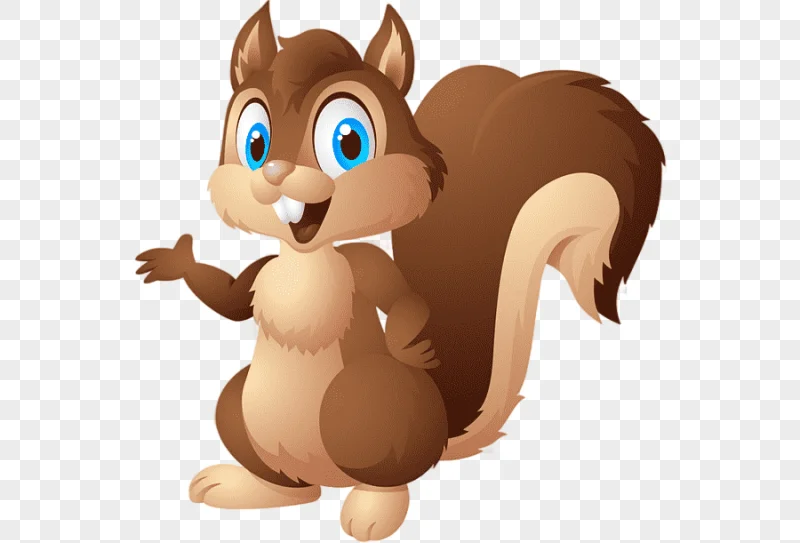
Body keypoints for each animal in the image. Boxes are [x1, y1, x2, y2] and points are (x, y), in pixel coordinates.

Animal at [136, 3, 664, 541]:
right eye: (254, 142)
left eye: (348, 141)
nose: (274, 173)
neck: (306, 258)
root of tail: (439, 433)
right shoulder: (262, 271)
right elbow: (231, 300)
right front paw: (177, 260)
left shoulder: (367, 268)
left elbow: (404, 300)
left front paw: (405, 346)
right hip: (240, 408)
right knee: (296, 485)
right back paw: (247, 486)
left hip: (361, 413)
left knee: (382, 472)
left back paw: (372, 510)